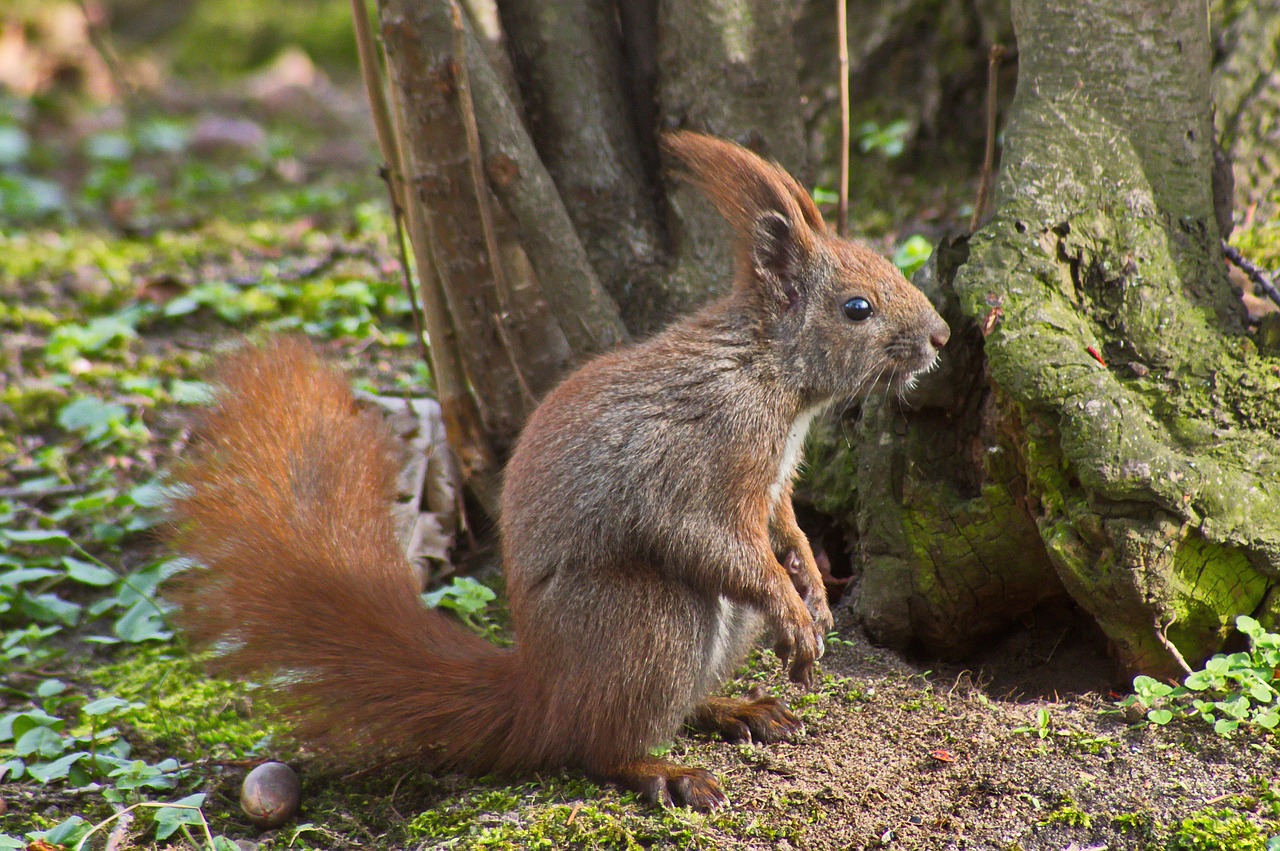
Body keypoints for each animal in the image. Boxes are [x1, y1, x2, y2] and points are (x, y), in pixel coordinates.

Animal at [167, 133, 952, 808]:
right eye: (857, 307)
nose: (942, 336)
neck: (769, 373)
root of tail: (542, 693)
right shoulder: (696, 457)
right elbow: (711, 538)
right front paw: (792, 606)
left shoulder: (774, 479)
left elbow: (784, 522)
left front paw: (813, 587)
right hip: (649, 621)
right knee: (597, 746)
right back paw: (663, 769)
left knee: (673, 705)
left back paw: (735, 707)